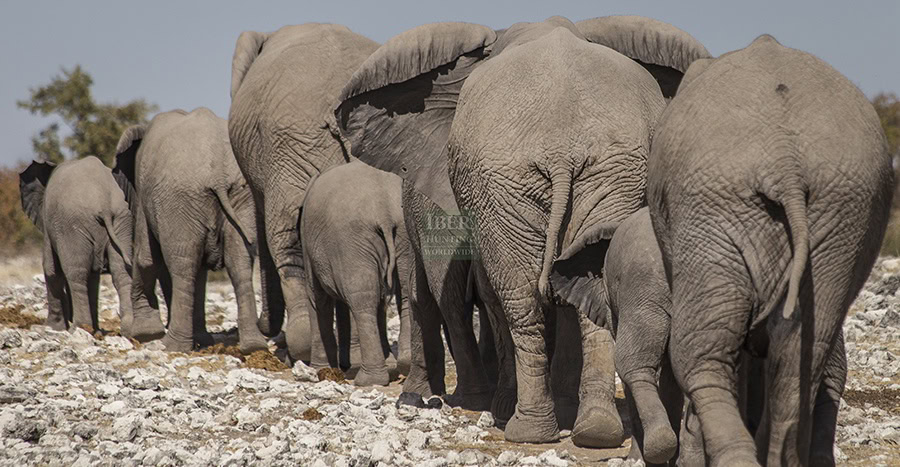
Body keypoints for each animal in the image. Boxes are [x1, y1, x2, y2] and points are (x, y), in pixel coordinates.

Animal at [18, 156, 133, 333]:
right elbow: (93, 277)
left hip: (71, 224)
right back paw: (134, 330)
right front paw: (97, 332)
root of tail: (103, 203)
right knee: (120, 271)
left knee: (76, 273)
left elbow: (51, 269)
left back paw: (80, 328)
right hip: (121, 220)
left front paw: (51, 328)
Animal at [113, 107, 268, 354]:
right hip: (240, 195)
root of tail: (218, 174)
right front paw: (202, 340)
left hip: (178, 199)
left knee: (182, 265)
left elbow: (146, 258)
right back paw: (253, 347)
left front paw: (144, 335)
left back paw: (172, 346)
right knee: (239, 262)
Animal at [302, 161, 411, 385]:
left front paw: (318, 370)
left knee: (363, 298)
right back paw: (405, 364)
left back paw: (368, 380)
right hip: (402, 232)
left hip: (351, 239)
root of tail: (384, 211)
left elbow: (317, 298)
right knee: (405, 292)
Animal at [332, 16, 710, 445]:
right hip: (604, 175)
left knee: (516, 299)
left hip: (513, 181)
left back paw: (524, 427)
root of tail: (562, 149)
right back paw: (597, 430)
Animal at [646, 35, 893, 466]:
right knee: (800, 350)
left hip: (714, 206)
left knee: (702, 350)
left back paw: (737, 457)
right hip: (845, 211)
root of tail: (786, 161)